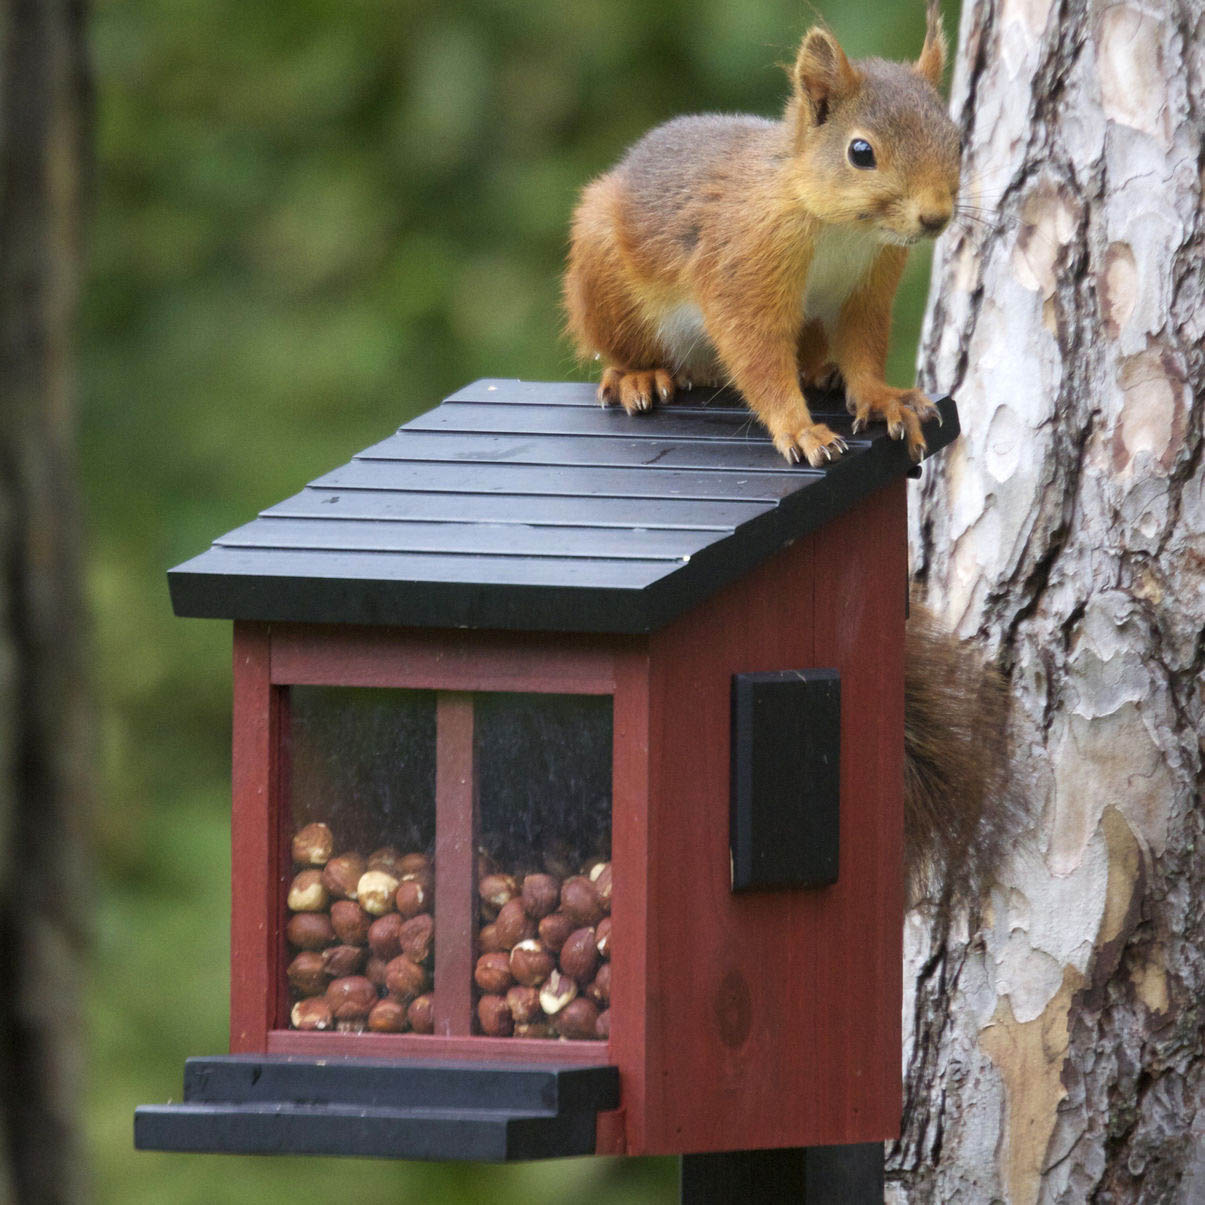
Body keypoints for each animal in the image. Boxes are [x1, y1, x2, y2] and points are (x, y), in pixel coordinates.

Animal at [563, 2, 959, 465]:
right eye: (861, 152)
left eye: (957, 140)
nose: (936, 217)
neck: (843, 230)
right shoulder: (745, 264)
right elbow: (758, 355)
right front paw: (801, 431)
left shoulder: (866, 289)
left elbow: (862, 347)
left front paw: (882, 398)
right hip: (607, 287)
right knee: (622, 352)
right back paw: (637, 377)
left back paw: (822, 372)